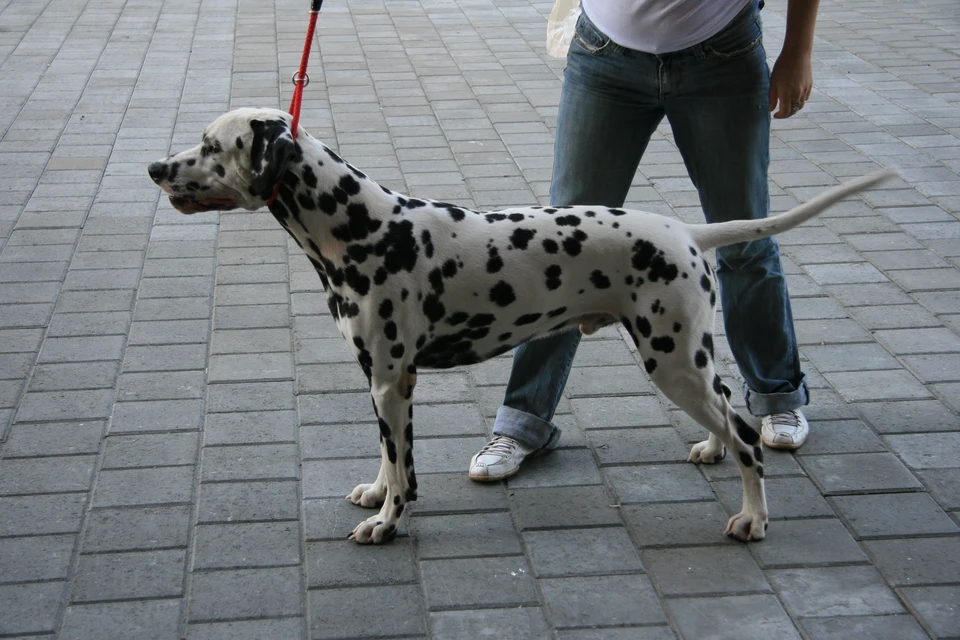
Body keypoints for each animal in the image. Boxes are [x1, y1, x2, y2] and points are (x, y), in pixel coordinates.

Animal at [148, 107, 892, 544]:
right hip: (685, 360)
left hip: (673, 361)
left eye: (211, 145)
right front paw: (378, 496)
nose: (155, 167)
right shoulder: (383, 380)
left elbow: (405, 465)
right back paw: (711, 451)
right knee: (728, 411)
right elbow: (388, 458)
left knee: (746, 434)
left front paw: (389, 522)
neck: (362, 228)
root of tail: (687, 231)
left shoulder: (392, 381)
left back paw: (754, 517)